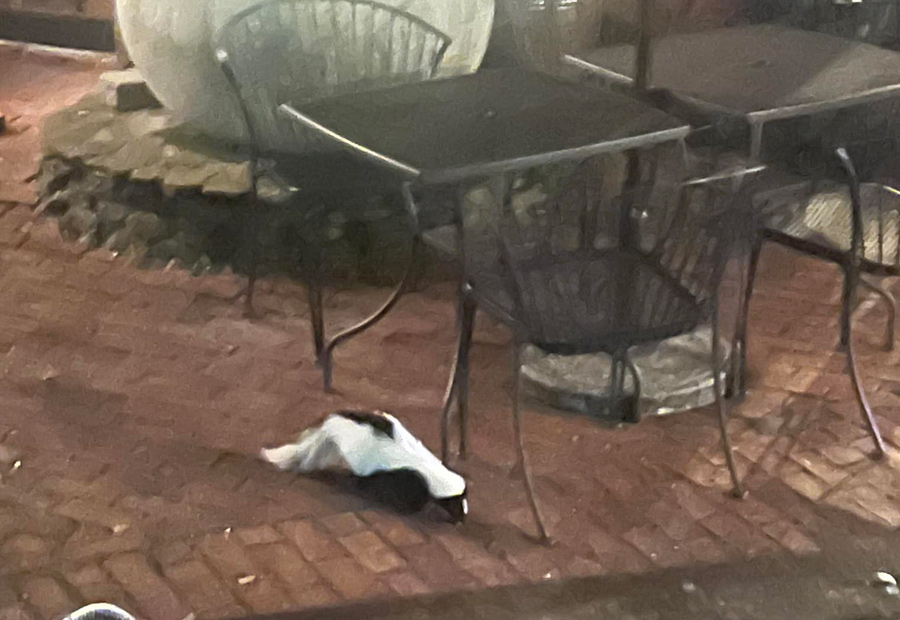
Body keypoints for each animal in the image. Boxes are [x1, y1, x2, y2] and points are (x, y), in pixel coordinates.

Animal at [260, 412, 468, 524]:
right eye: (455, 505)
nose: (460, 520)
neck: (429, 470)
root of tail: (335, 424)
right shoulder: (406, 480)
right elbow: (407, 500)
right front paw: (411, 511)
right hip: (365, 464)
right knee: (362, 478)